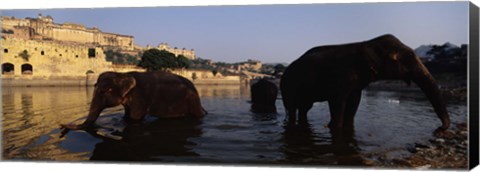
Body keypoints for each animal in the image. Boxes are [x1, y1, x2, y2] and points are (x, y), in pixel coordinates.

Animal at [60, 70, 206, 130]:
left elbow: (135, 118)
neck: (123, 74)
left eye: (102, 91)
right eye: (95, 86)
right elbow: (126, 116)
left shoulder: (139, 96)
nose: (61, 125)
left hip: (192, 101)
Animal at [282, 33, 450, 133]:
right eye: (402, 58)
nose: (440, 129)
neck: (368, 43)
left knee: (304, 108)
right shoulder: (341, 76)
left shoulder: (357, 82)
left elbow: (354, 101)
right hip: (288, 86)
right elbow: (337, 101)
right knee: (292, 108)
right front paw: (334, 128)